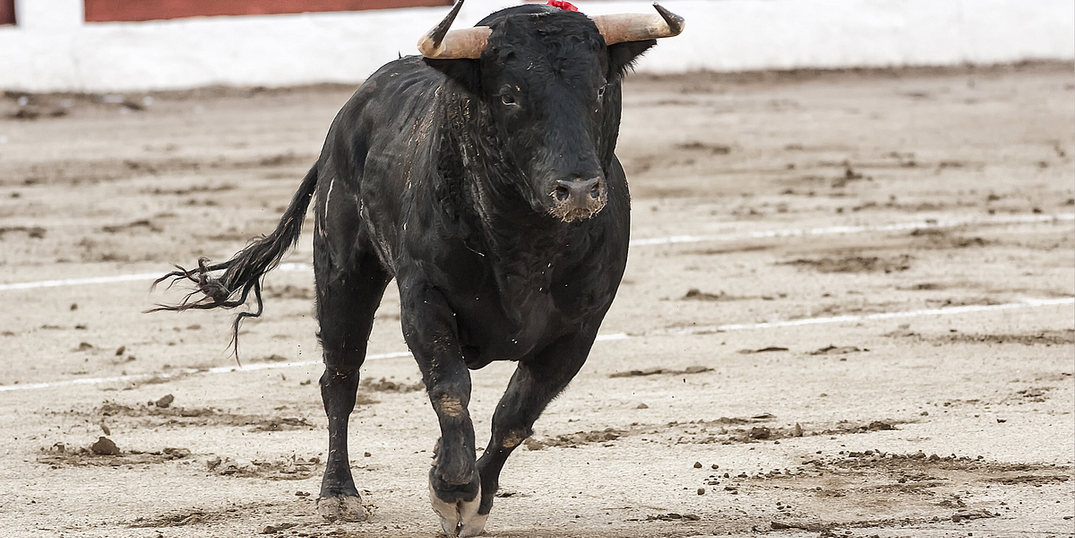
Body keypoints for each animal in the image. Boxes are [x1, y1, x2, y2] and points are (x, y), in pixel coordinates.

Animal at [153, 1, 683, 535]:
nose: (577, 190)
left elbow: (516, 414)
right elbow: (450, 389)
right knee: (340, 378)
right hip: (343, 275)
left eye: (599, 90)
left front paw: (476, 500)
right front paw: (452, 491)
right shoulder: (424, 299)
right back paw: (339, 494)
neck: (526, 242)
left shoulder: (579, 328)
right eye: (510, 95)